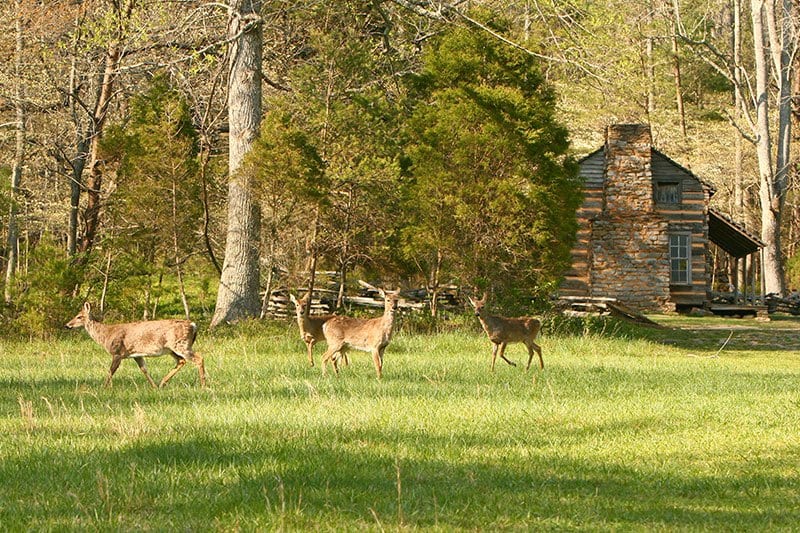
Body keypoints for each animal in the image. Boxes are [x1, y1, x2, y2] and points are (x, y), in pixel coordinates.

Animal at [65, 304, 206, 386]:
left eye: (79, 316)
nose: (67, 325)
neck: (106, 335)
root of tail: (193, 325)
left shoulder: (117, 352)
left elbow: (111, 371)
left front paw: (103, 387)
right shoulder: (136, 354)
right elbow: (144, 369)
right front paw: (154, 387)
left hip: (181, 345)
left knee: (199, 358)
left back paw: (203, 385)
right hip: (172, 349)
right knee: (181, 361)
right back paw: (162, 383)